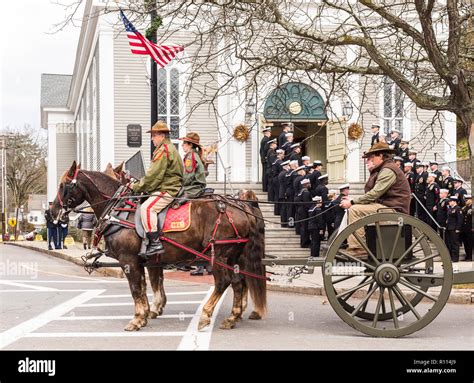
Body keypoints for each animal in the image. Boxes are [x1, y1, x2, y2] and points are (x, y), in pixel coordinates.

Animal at [52, 160, 266, 332]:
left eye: (63, 185)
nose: (52, 211)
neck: (120, 209)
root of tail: (240, 206)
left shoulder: (129, 260)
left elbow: (137, 289)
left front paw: (138, 318)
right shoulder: (147, 261)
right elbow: (148, 285)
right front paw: (148, 313)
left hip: (218, 256)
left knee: (224, 282)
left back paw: (206, 314)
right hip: (233, 257)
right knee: (239, 282)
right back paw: (232, 317)